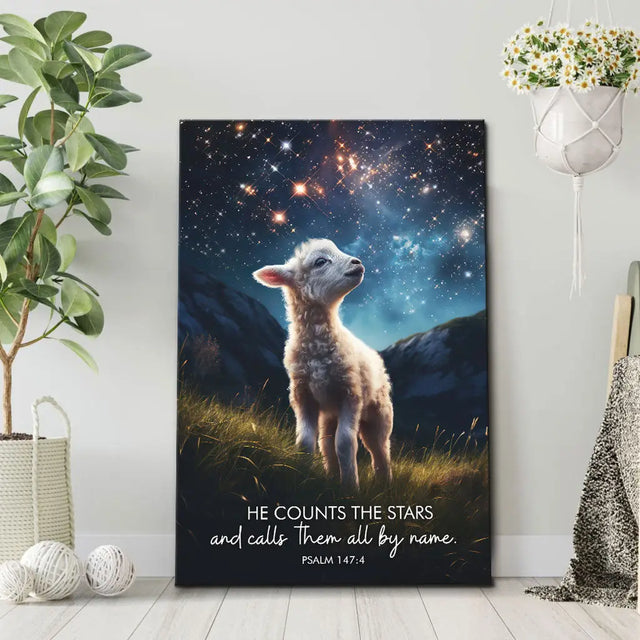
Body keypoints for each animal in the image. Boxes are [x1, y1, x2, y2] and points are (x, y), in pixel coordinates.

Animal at [253, 238, 393, 489]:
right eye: (320, 262)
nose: (357, 262)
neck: (318, 350)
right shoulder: (303, 398)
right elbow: (306, 442)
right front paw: (302, 477)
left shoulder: (351, 394)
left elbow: (345, 443)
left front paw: (351, 487)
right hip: (329, 415)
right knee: (327, 443)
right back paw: (332, 476)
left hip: (379, 413)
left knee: (379, 449)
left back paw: (384, 484)